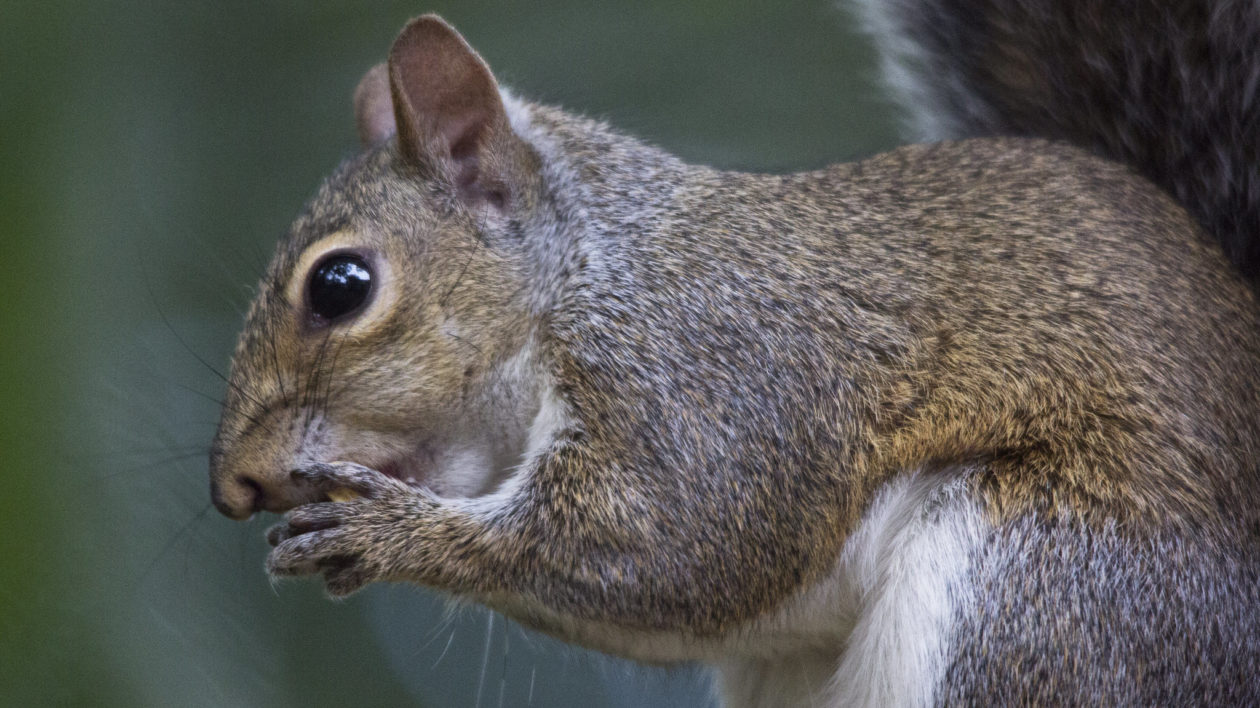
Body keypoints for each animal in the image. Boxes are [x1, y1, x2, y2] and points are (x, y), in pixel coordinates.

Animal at [209, 2, 1260, 700]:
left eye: (340, 286)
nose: (234, 487)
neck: (591, 274)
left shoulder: (708, 373)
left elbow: (671, 540)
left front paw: (396, 535)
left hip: (1045, 593)